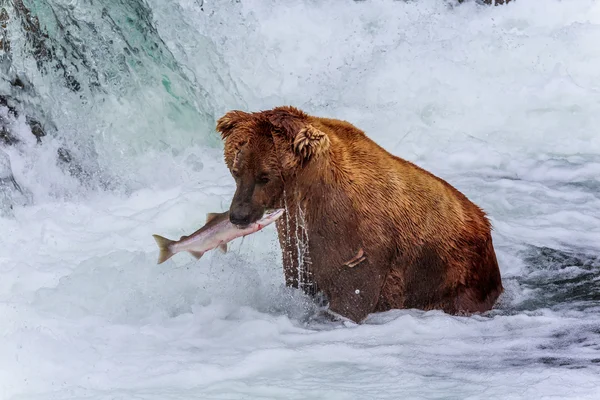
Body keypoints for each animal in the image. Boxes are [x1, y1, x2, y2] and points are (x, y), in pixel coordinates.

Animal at [216, 105, 502, 322]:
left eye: (264, 176)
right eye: (236, 171)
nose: (238, 215)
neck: (306, 195)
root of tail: (485, 224)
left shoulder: (359, 238)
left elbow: (352, 293)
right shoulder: (297, 239)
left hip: (453, 276)